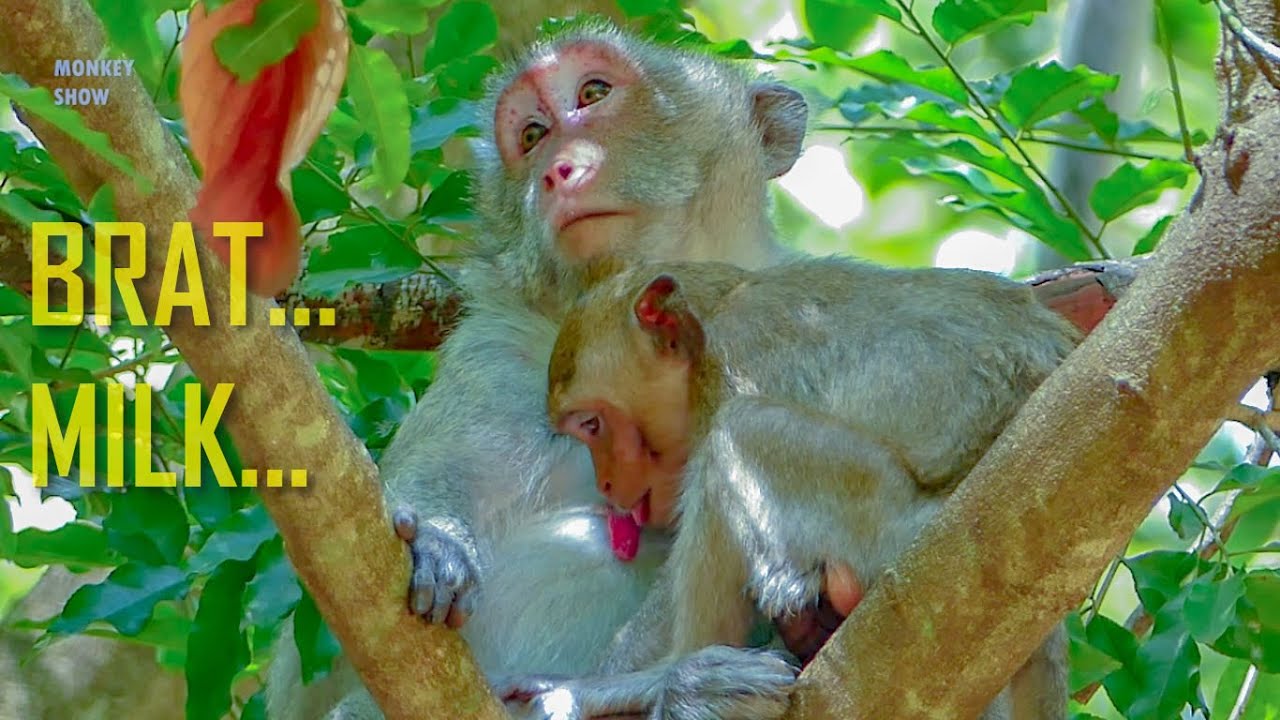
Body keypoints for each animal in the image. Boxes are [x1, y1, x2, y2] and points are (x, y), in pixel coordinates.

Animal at [508, 255, 1081, 718]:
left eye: (592, 425)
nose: (605, 481)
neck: (716, 314)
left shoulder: (733, 365)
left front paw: (592, 689)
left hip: (906, 536)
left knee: (739, 433)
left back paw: (682, 681)